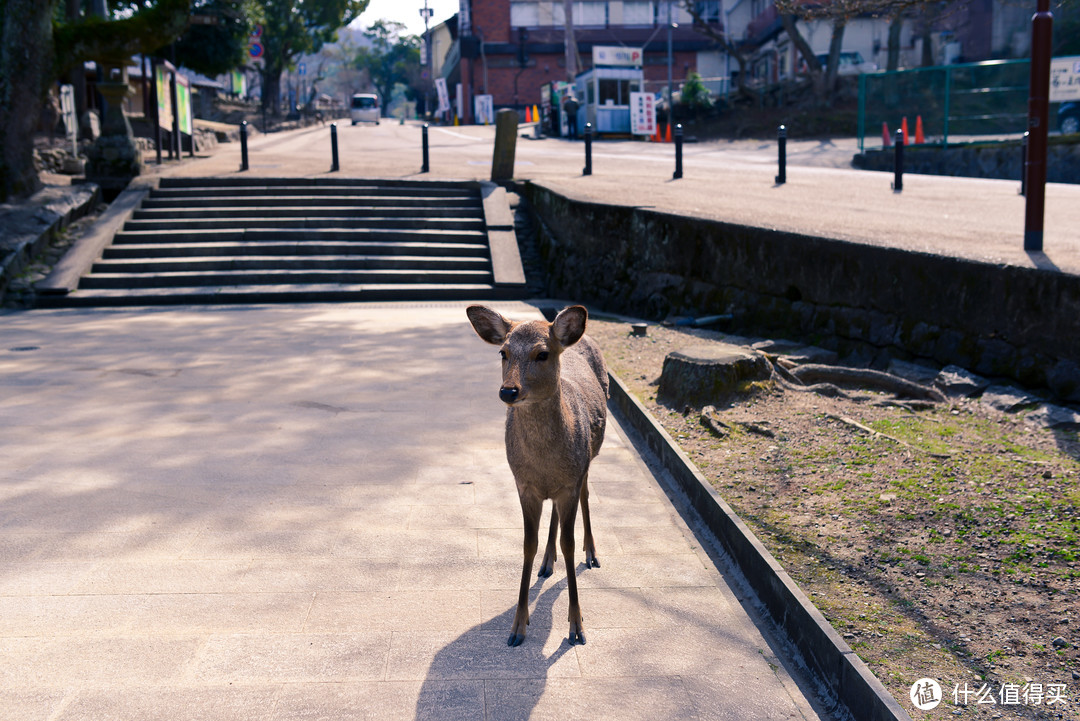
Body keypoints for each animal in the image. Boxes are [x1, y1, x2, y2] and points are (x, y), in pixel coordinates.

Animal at [466, 304, 609, 647]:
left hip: (588, 460)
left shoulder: (570, 482)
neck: (544, 464)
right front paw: (517, 627)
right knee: (554, 515)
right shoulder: (524, 485)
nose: (508, 391)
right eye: (502, 352)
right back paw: (547, 561)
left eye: (542, 354)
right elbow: (527, 544)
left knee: (586, 496)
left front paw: (577, 627)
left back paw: (592, 554)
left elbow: (569, 543)